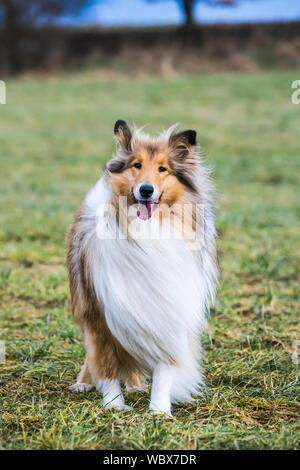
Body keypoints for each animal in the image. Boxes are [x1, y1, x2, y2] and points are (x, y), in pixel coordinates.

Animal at [67, 121, 218, 414]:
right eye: (136, 165)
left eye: (163, 168)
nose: (146, 190)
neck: (147, 231)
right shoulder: (100, 311)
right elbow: (105, 362)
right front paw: (114, 404)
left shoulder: (166, 308)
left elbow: (164, 365)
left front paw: (159, 410)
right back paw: (83, 382)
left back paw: (136, 385)